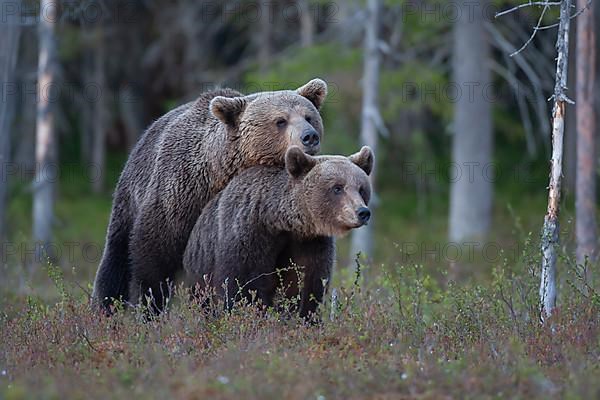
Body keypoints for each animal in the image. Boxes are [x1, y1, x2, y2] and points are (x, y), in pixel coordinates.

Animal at [183, 145, 372, 318]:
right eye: (337, 187)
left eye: (361, 188)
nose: (362, 212)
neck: (280, 222)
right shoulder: (248, 234)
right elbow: (241, 285)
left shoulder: (310, 243)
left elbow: (308, 284)